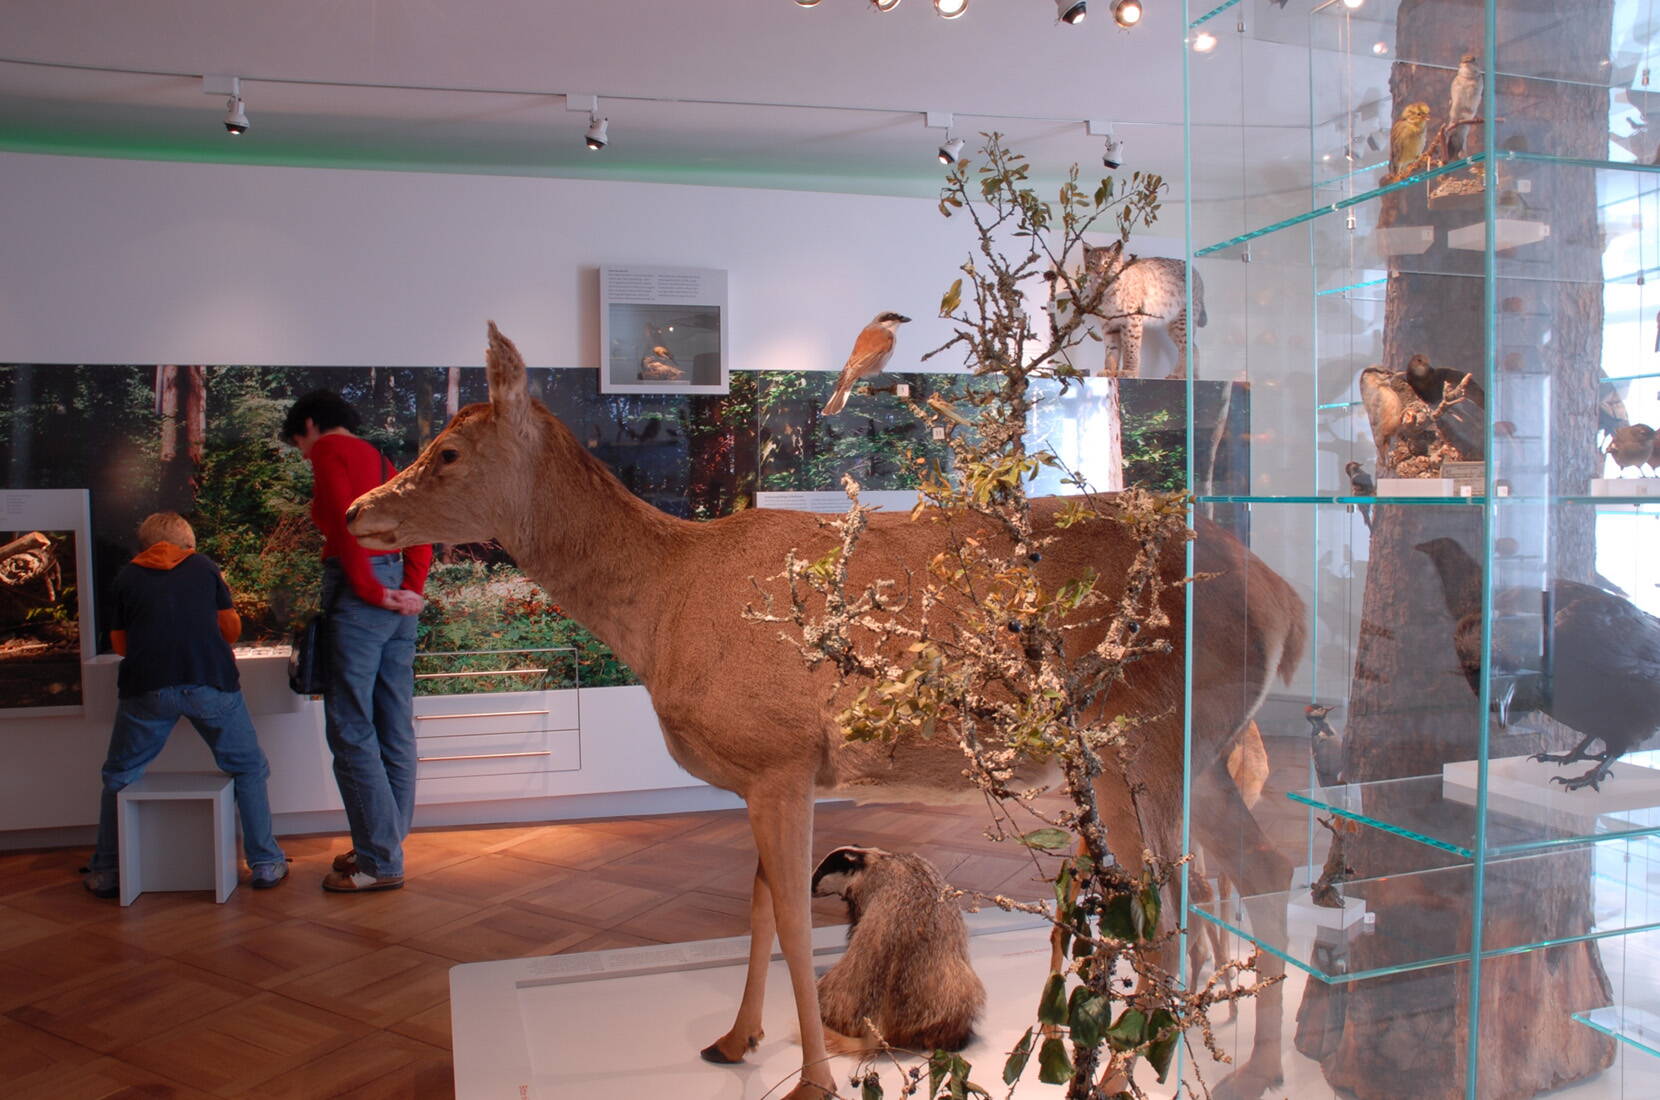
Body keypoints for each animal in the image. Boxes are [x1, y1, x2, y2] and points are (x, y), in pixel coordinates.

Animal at [346, 323, 1308, 1095]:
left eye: (447, 452)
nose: (356, 513)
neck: (663, 604)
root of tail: (1285, 600)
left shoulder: (779, 758)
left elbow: (795, 926)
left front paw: (810, 1078)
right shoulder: (761, 771)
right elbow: (760, 912)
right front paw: (732, 1040)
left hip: (1138, 744)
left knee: (1167, 908)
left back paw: (1126, 1076)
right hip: (1197, 747)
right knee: (1256, 869)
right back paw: (1258, 1066)